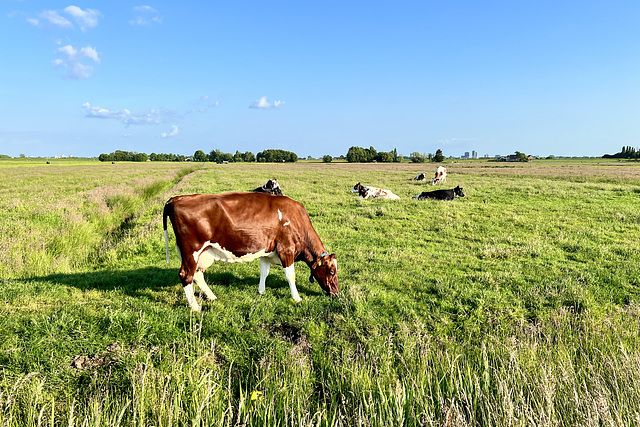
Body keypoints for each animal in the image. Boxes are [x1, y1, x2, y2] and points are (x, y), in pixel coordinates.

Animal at [162, 193, 338, 310]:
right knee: (186, 275)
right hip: (191, 250)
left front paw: (261, 291)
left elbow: (264, 272)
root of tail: (177, 198)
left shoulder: (267, 252)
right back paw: (195, 307)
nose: (336, 293)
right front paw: (297, 298)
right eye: (331, 271)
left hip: (201, 253)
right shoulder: (286, 250)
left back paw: (211, 297)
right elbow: (290, 276)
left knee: (197, 275)